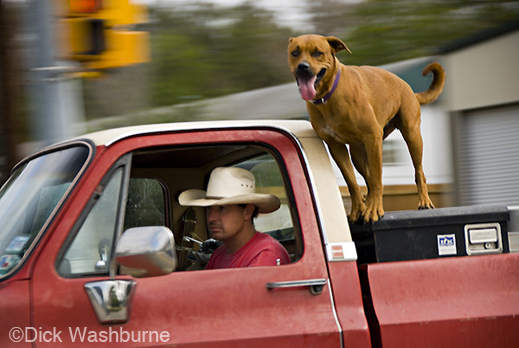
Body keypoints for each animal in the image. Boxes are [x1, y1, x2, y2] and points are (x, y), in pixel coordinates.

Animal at [288, 35, 446, 223]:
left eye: (317, 53)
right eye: (295, 53)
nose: (302, 67)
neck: (329, 96)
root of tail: (409, 89)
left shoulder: (373, 137)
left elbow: (377, 178)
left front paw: (374, 209)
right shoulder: (335, 146)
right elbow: (352, 181)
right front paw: (358, 209)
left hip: (411, 135)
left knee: (418, 172)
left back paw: (424, 202)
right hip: (357, 153)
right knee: (368, 178)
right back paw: (366, 205)